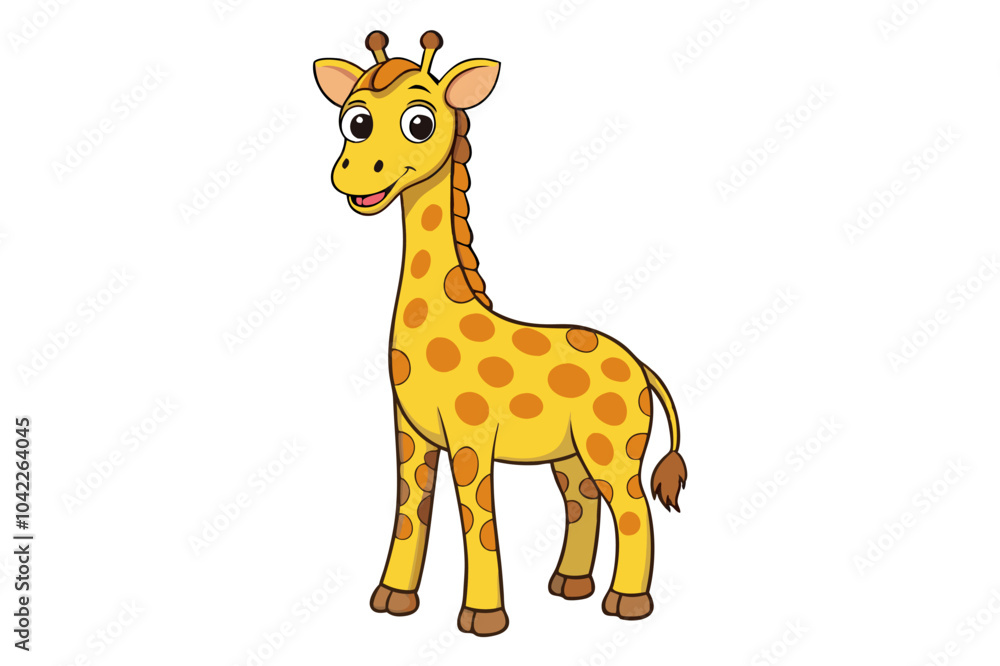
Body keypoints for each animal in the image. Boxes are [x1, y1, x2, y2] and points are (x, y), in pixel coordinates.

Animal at [314, 30, 688, 637]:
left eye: (421, 122)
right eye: (356, 120)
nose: (354, 172)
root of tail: (642, 367)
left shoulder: (471, 434)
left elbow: (478, 521)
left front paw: (482, 617)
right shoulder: (411, 431)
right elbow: (409, 510)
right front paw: (392, 599)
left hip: (613, 446)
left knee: (633, 510)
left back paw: (625, 603)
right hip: (569, 455)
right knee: (583, 502)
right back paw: (568, 586)